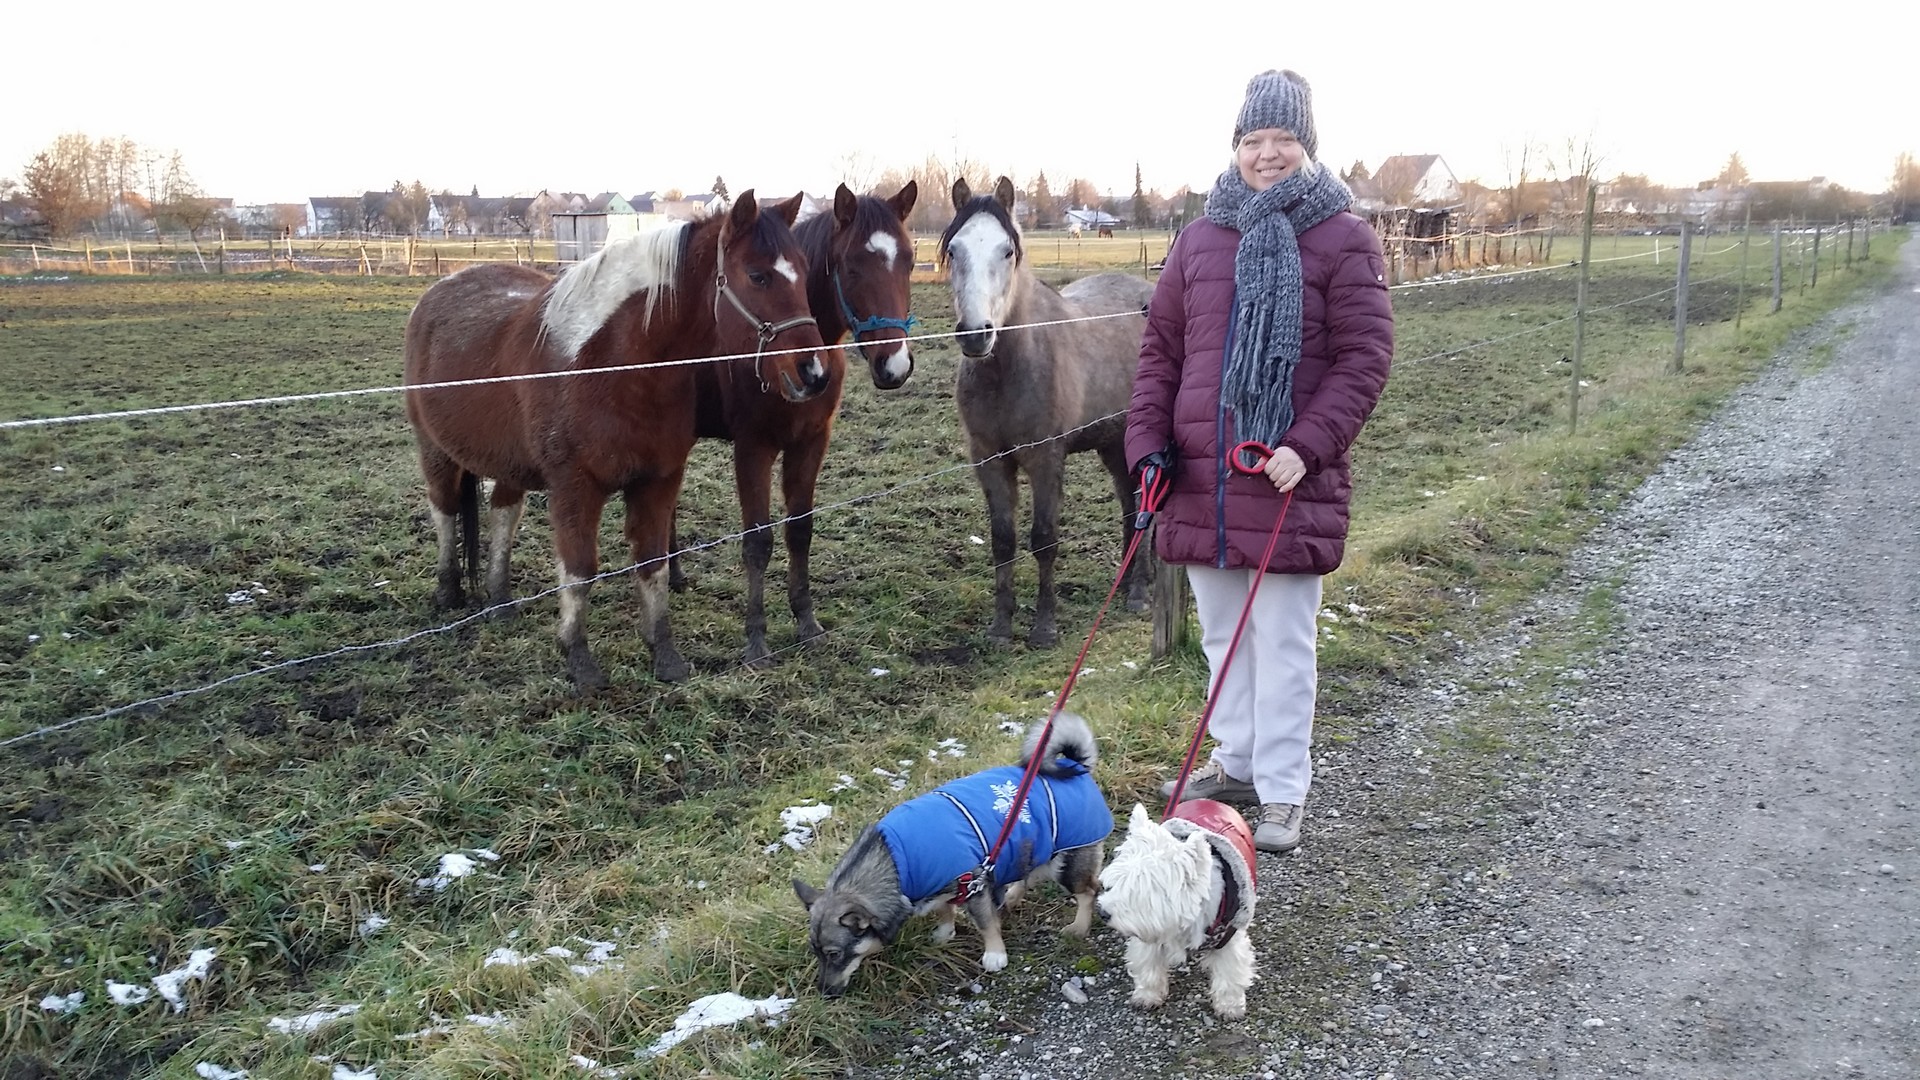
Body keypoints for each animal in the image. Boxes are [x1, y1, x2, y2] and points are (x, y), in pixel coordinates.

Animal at [405, 189, 825, 684]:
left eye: (804, 271)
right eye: (758, 275)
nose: (813, 373)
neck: (614, 364)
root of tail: (440, 289)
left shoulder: (659, 480)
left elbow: (652, 562)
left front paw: (664, 653)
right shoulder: (574, 487)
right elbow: (579, 568)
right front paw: (578, 658)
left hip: (508, 462)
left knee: (503, 512)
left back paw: (500, 600)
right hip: (435, 451)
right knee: (445, 511)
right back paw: (447, 592)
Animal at [672, 180, 917, 661]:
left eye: (910, 261)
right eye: (851, 266)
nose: (894, 366)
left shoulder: (811, 441)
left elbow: (800, 529)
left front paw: (806, 621)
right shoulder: (754, 447)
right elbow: (758, 540)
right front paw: (756, 639)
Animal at [940, 175, 1152, 641]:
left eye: (1006, 250)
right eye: (954, 250)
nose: (975, 335)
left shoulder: (1046, 457)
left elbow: (1044, 539)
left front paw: (1044, 627)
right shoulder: (989, 459)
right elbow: (1003, 540)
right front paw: (1001, 627)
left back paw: (1140, 594)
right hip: (1113, 445)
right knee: (1130, 507)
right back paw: (1125, 583)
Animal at [1098, 799, 1259, 1014]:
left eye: (1138, 892)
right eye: (1114, 883)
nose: (1102, 913)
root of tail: (1208, 800)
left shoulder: (1230, 938)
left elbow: (1230, 972)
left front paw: (1230, 1007)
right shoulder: (1149, 933)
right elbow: (1148, 965)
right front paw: (1147, 996)